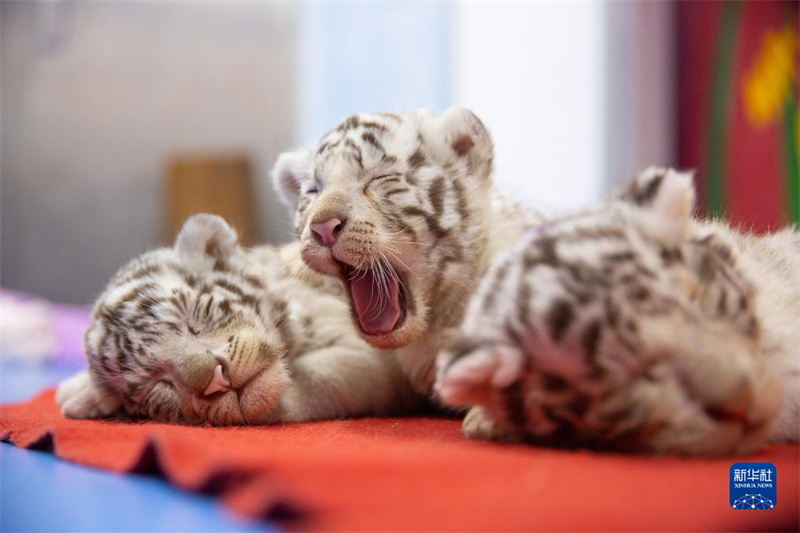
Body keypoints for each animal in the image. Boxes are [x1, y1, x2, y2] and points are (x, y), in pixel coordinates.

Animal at [56, 214, 419, 425]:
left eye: (193, 317)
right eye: (155, 384)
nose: (216, 381)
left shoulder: (369, 356)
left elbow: (322, 375)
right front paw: (78, 393)